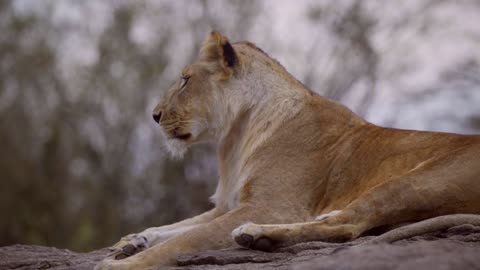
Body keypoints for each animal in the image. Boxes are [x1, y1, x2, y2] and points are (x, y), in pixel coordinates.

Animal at [95, 30, 480, 268]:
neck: (235, 136)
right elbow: (176, 227)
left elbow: (186, 239)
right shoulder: (228, 204)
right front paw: (132, 240)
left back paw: (256, 235)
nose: (155, 115)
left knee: (349, 225)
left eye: (185, 80)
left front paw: (119, 265)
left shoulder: (272, 205)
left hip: (412, 183)